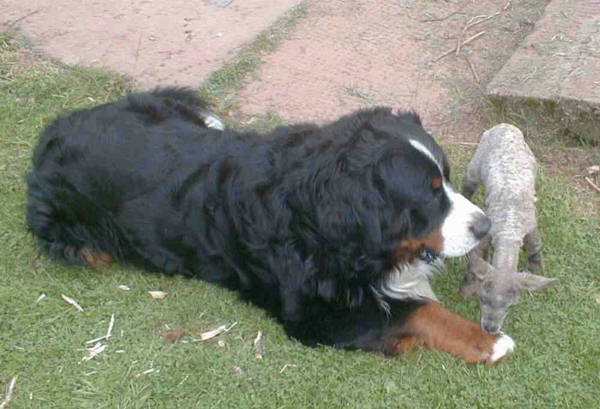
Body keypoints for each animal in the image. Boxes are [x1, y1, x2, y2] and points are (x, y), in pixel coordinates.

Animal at [27, 87, 516, 362]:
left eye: (447, 178)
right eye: (427, 195)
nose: (485, 226)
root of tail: (52, 131)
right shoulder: (316, 315)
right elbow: (420, 312)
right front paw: (488, 343)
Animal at [460, 122, 556, 334]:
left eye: (511, 306)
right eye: (482, 299)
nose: (490, 328)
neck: (510, 230)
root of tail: (505, 125)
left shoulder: (530, 226)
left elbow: (535, 245)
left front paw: (536, 265)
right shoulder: (488, 232)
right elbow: (477, 258)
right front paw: (468, 286)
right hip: (476, 162)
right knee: (468, 184)